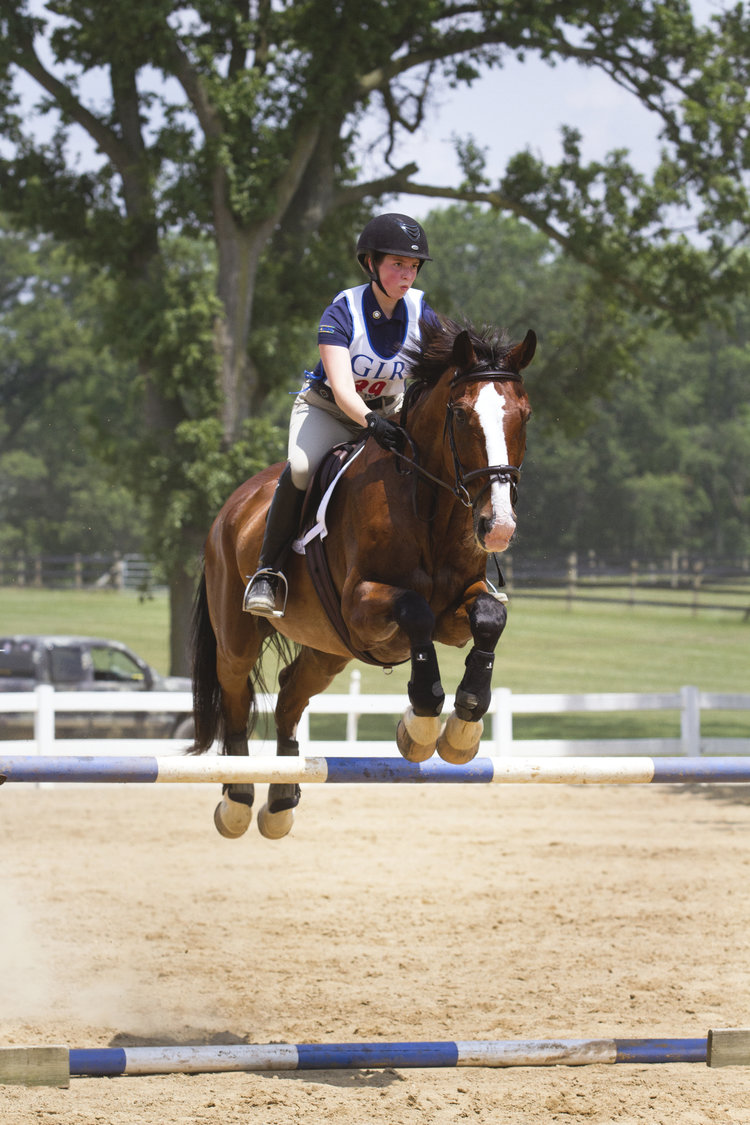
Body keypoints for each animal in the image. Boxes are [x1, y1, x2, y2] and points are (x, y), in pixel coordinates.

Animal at [191, 316, 535, 839]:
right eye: (459, 415)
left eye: (526, 415)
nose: (497, 526)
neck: (427, 510)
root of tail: (230, 507)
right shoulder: (360, 604)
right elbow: (414, 610)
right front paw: (421, 723)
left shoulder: (454, 613)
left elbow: (489, 617)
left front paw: (463, 728)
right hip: (238, 637)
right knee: (235, 697)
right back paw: (238, 800)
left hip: (328, 650)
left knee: (290, 695)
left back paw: (281, 801)